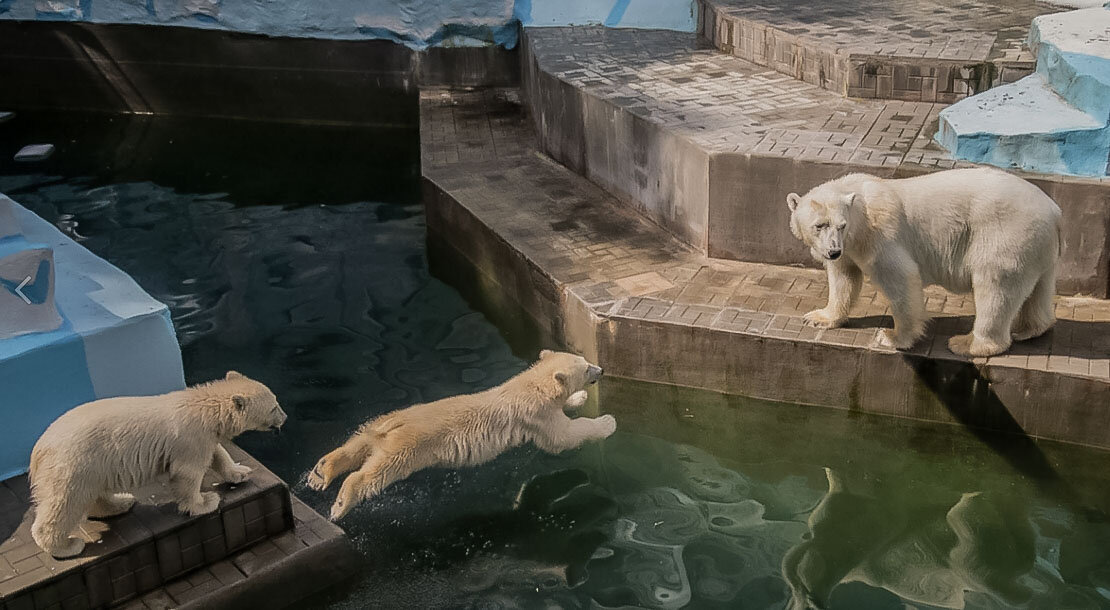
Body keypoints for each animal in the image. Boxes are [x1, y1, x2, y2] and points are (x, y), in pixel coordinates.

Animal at [785, 167, 1061, 359]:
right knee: (1039, 286)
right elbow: (844, 278)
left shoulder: (879, 236)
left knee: (994, 286)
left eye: (840, 225)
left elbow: (900, 278)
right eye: (820, 225)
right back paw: (1028, 328)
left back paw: (967, 343)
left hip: (1006, 234)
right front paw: (819, 317)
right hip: (1037, 246)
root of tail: (1054, 210)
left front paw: (892, 337)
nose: (833, 251)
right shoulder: (851, 248)